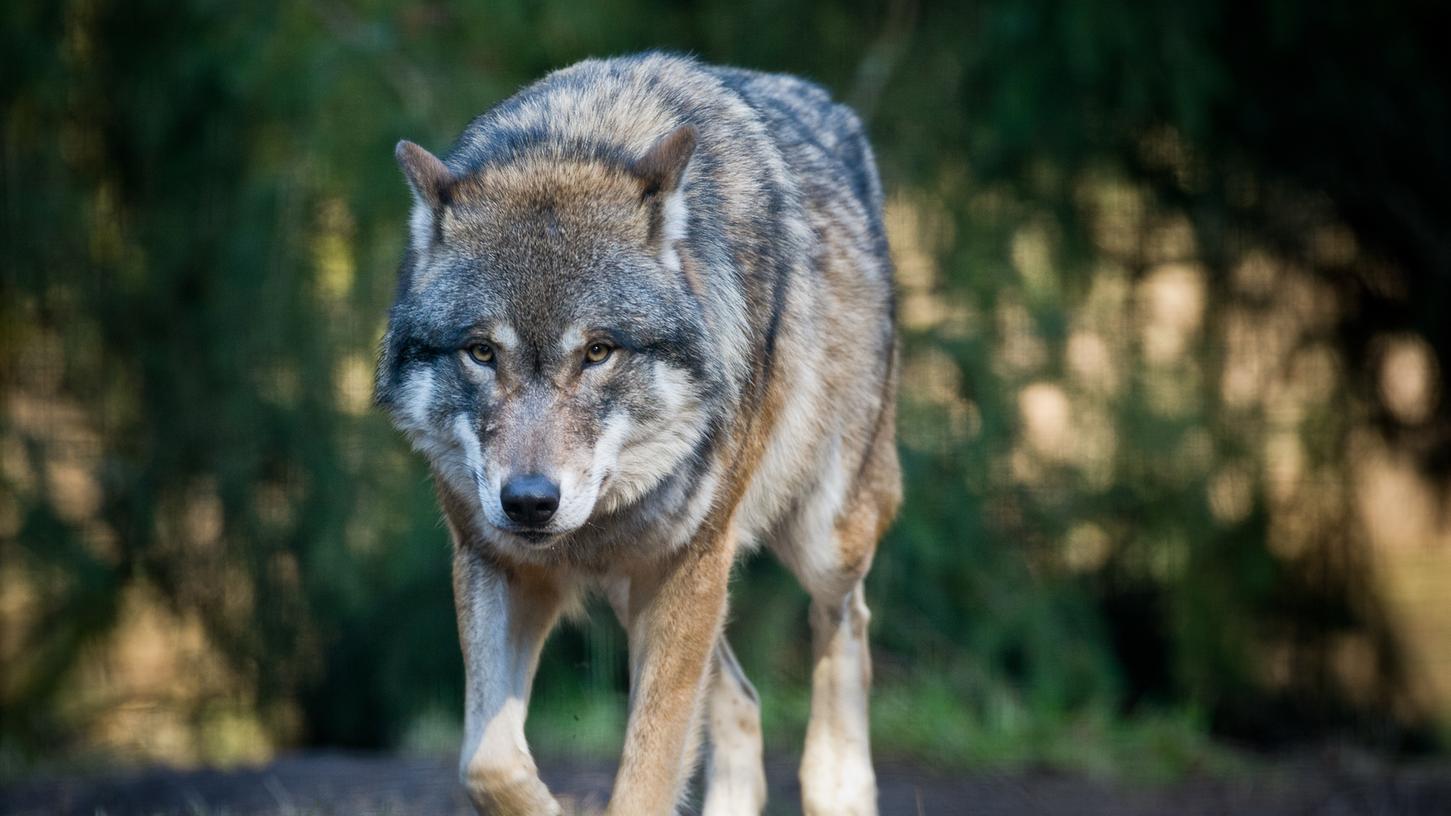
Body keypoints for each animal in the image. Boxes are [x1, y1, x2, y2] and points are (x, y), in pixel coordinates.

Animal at [374, 52, 893, 813]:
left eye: (597, 352)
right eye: (481, 352)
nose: (530, 503)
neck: (580, 137)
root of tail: (836, 113)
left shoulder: (688, 565)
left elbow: (645, 777)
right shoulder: (496, 562)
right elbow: (486, 762)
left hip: (818, 537)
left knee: (846, 621)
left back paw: (839, 784)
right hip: (644, 588)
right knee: (742, 697)